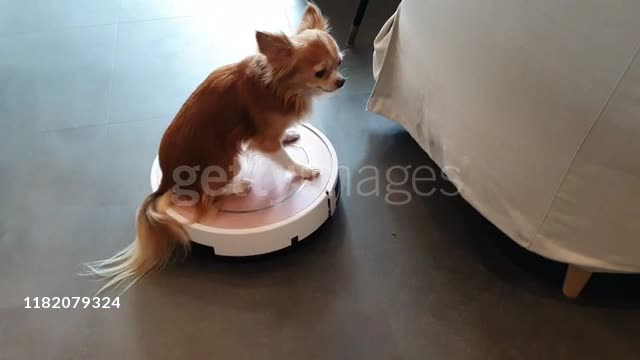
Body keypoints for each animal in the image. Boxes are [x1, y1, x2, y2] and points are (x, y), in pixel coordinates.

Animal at [86, 2, 344, 292]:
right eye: (320, 72)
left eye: (340, 63)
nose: (341, 81)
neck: (280, 85)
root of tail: (165, 182)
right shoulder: (263, 141)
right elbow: (284, 158)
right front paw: (304, 170)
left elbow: (282, 142)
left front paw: (288, 135)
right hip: (229, 160)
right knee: (209, 193)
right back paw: (239, 186)